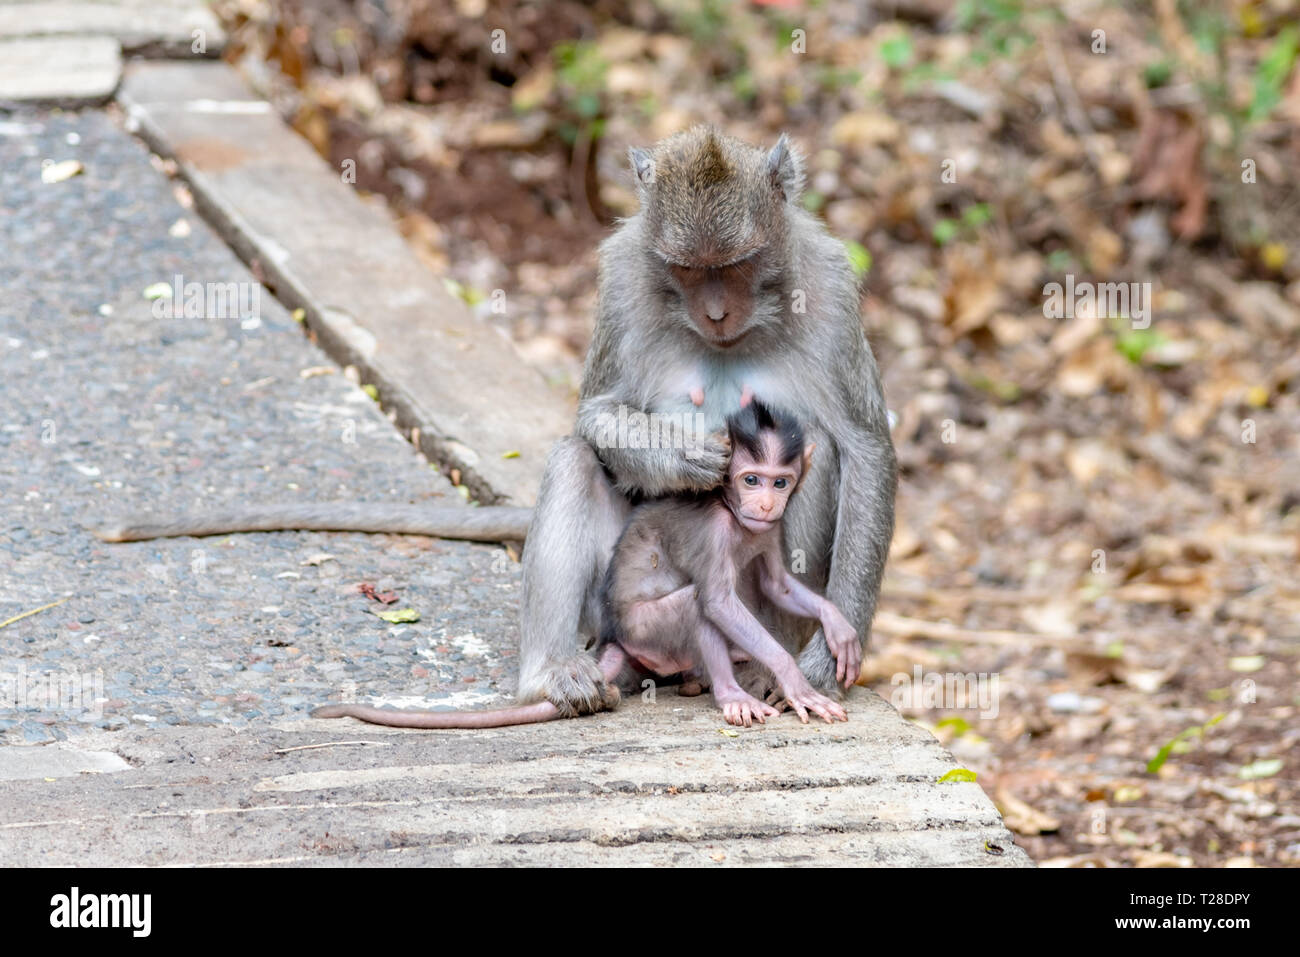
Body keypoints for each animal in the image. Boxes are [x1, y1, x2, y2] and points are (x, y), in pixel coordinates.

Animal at [313, 400, 852, 728]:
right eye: (750, 479)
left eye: (780, 482)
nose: (764, 503)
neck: (736, 517)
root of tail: (615, 638)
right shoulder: (714, 532)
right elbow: (717, 601)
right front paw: (794, 679)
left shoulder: (768, 532)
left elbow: (779, 584)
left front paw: (838, 626)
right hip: (644, 629)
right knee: (696, 605)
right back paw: (728, 691)